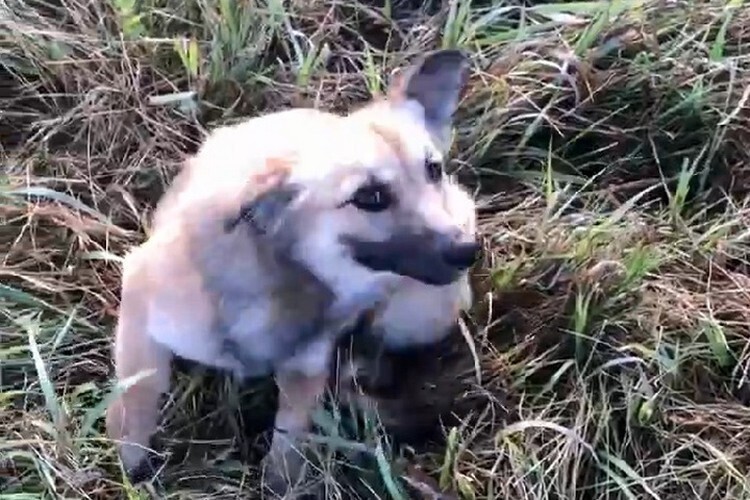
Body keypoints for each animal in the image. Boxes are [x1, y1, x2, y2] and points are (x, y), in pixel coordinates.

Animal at [104, 47, 482, 496]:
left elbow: (289, 441)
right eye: (369, 196)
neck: (284, 276)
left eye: (433, 169)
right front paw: (131, 466)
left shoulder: (306, 366)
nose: (467, 250)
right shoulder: (140, 302)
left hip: (418, 314)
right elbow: (136, 402)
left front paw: (279, 481)